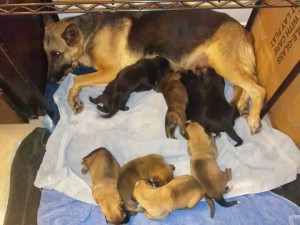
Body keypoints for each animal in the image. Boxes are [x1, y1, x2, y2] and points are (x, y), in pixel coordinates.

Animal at [42, 10, 264, 134]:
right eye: (46, 54)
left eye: (56, 53)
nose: (50, 80)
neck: (89, 33)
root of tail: (243, 29)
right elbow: (78, 79)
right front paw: (74, 99)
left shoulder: (110, 71)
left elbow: (77, 79)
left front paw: (73, 99)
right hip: (226, 66)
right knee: (248, 83)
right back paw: (243, 105)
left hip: (224, 64)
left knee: (258, 89)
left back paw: (254, 119)